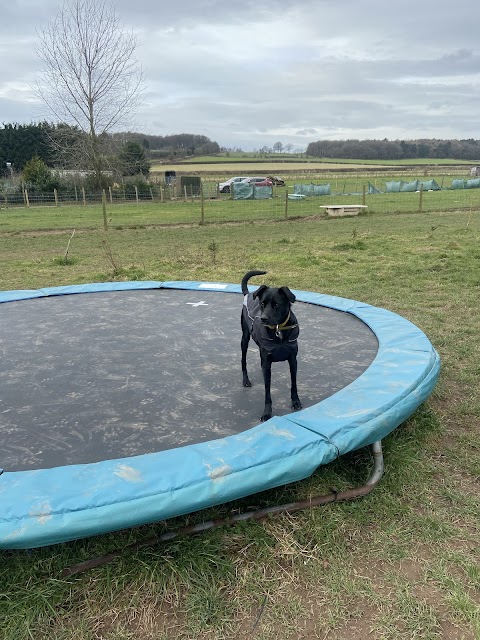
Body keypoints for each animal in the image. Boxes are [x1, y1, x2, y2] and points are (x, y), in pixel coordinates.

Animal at [242, 268, 302, 422]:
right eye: (262, 304)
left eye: (276, 305)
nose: (263, 319)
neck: (278, 330)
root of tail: (248, 294)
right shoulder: (268, 362)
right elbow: (267, 392)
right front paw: (267, 412)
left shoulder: (293, 360)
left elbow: (294, 384)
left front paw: (296, 401)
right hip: (244, 339)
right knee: (243, 361)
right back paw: (245, 380)